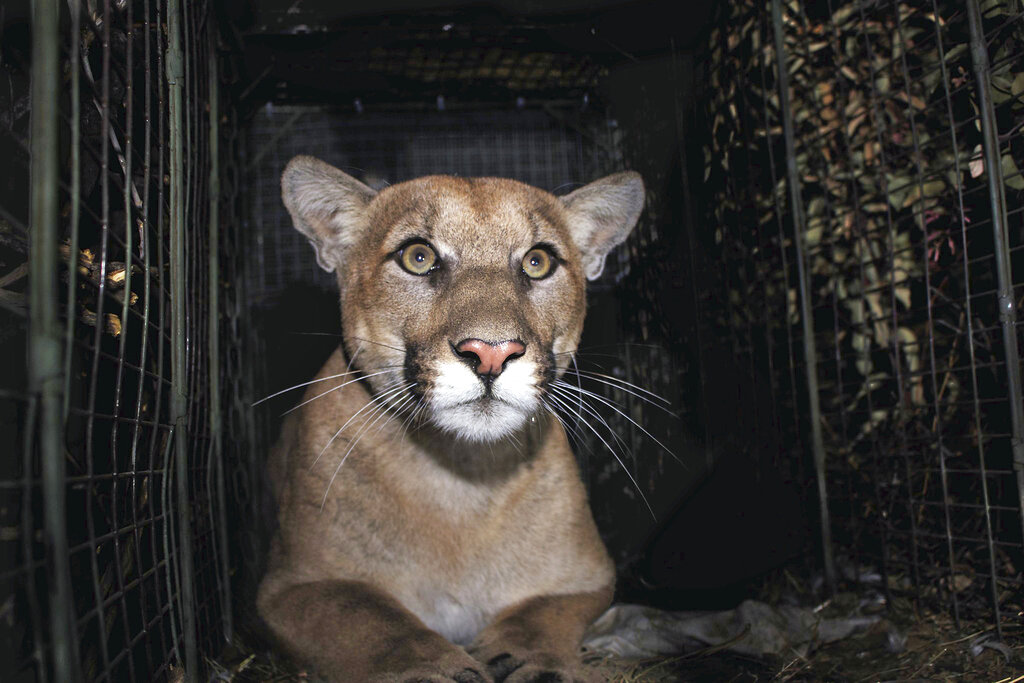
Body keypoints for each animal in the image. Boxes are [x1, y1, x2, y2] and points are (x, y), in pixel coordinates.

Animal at [256, 156, 643, 683]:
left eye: (537, 262)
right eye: (418, 257)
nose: (492, 352)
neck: (461, 475)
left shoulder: (585, 579)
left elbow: (540, 616)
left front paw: (536, 664)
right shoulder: (296, 585)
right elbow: (375, 620)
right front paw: (429, 669)